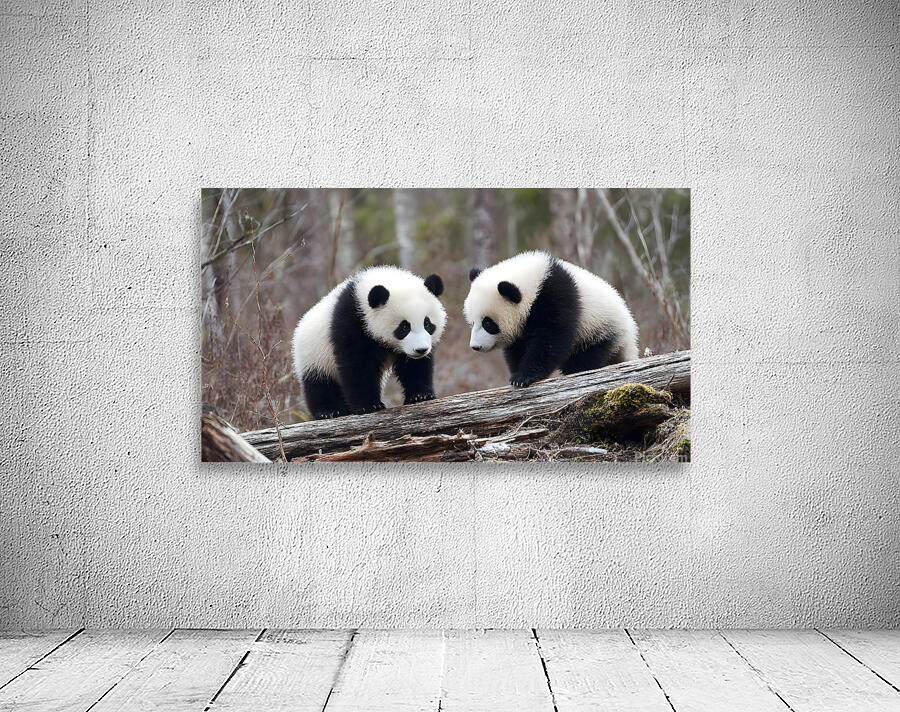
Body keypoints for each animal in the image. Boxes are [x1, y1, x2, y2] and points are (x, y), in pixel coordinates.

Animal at [292, 266, 446, 419]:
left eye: (427, 324)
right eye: (404, 327)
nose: (421, 349)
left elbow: (415, 366)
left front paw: (420, 396)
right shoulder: (351, 322)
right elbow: (357, 364)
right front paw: (368, 406)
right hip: (314, 354)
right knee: (319, 384)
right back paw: (329, 411)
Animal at [463, 251, 638, 387]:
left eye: (488, 323)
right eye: (472, 323)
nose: (475, 347)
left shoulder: (556, 297)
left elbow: (551, 338)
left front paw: (524, 377)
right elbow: (518, 347)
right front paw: (516, 373)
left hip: (602, 329)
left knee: (591, 355)